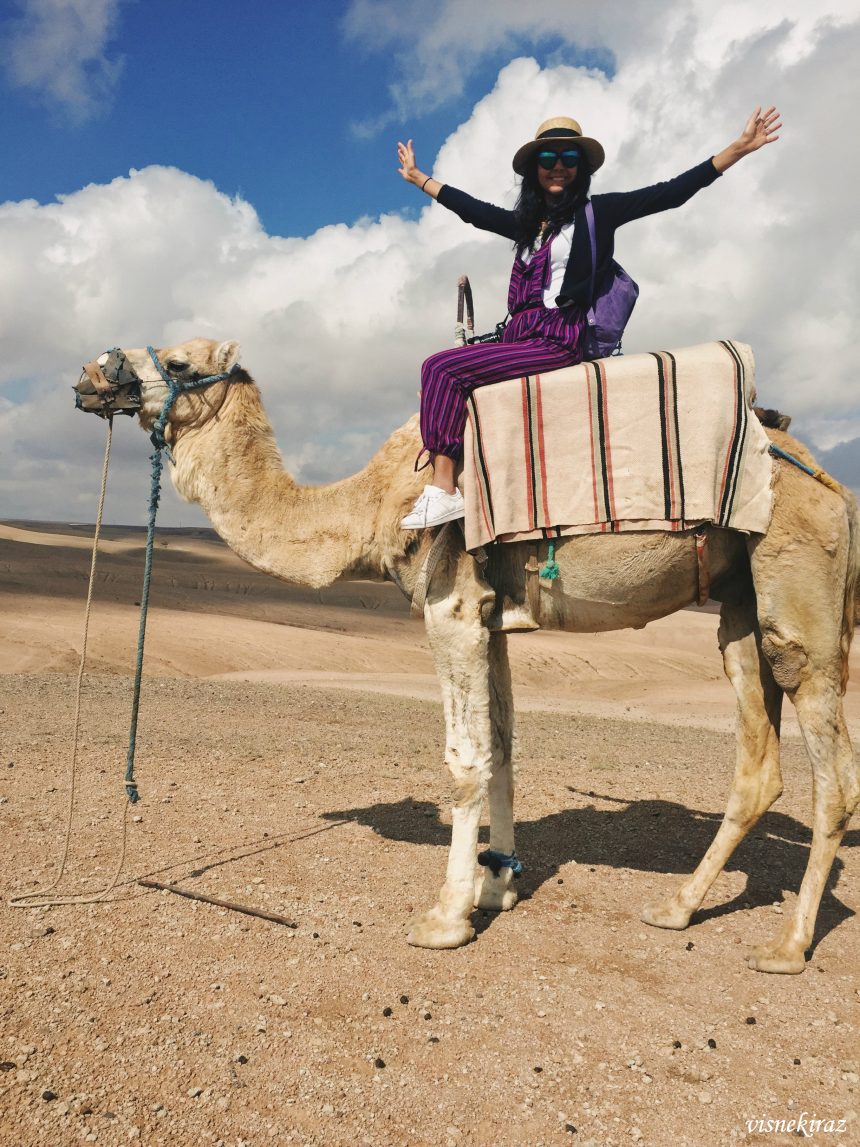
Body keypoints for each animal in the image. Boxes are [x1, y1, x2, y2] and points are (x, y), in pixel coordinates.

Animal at [77, 337, 859, 974]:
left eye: (179, 363)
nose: (90, 375)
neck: (368, 506)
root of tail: (835, 485)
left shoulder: (448, 606)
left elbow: (464, 760)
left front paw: (446, 916)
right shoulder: (494, 619)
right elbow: (504, 747)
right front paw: (499, 885)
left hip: (797, 583)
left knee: (830, 762)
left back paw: (788, 944)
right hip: (738, 604)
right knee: (758, 759)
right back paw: (677, 907)